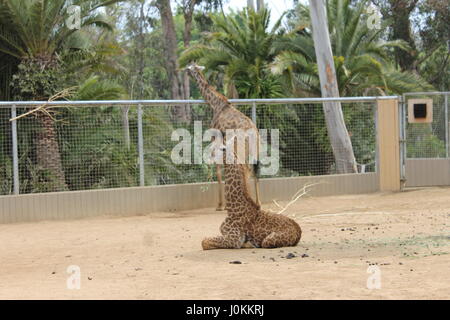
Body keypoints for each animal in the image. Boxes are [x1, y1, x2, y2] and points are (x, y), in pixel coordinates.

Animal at [183, 63, 260, 211]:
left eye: (189, 67)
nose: (183, 71)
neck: (216, 104)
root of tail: (253, 131)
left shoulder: (216, 138)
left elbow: (218, 171)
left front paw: (220, 205)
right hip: (254, 149)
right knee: (254, 170)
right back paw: (257, 204)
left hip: (239, 148)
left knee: (245, 169)